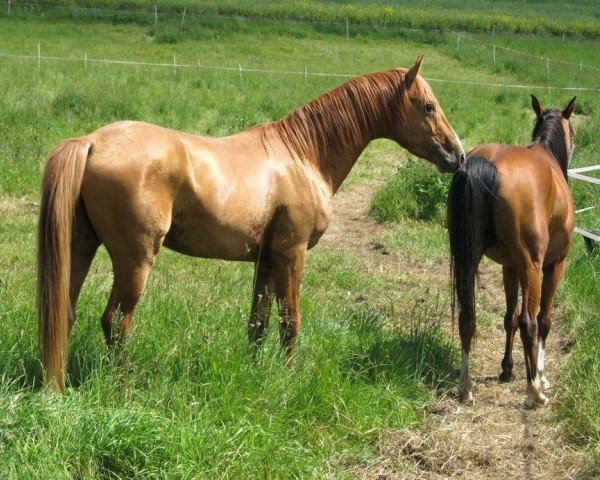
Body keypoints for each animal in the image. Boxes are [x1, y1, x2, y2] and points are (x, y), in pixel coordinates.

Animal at [39, 58, 466, 392]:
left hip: (80, 249)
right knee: (115, 322)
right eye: (428, 107)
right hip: (134, 261)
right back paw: (122, 385)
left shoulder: (266, 260)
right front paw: (289, 380)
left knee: (64, 314)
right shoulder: (291, 254)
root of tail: (92, 141)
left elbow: (257, 324)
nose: (457, 156)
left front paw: (254, 373)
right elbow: (289, 322)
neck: (303, 154)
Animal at [448, 94, 576, 404]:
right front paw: (540, 375)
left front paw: (507, 368)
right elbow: (542, 320)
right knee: (530, 322)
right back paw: (535, 391)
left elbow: (509, 318)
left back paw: (465, 386)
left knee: (467, 318)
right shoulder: (554, 264)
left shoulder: (509, 266)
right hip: (531, 266)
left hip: (469, 260)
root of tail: (484, 164)